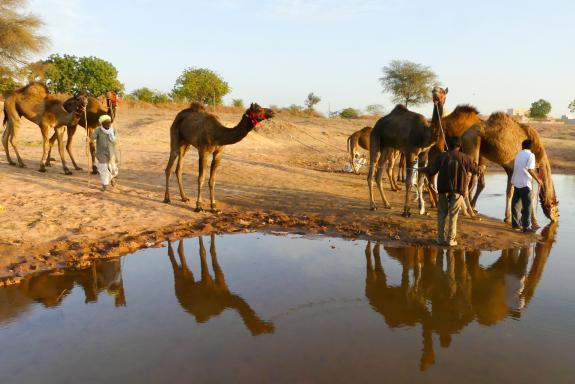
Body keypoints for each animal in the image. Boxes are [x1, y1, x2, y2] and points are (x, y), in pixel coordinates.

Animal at [368, 86, 450, 216]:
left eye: (442, 91)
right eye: (433, 90)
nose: (436, 95)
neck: (425, 133)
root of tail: (376, 125)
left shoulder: (423, 154)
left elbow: (420, 181)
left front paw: (421, 208)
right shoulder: (410, 153)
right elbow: (408, 182)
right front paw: (406, 210)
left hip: (387, 147)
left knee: (379, 174)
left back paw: (387, 204)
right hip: (375, 139)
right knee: (371, 171)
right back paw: (373, 205)